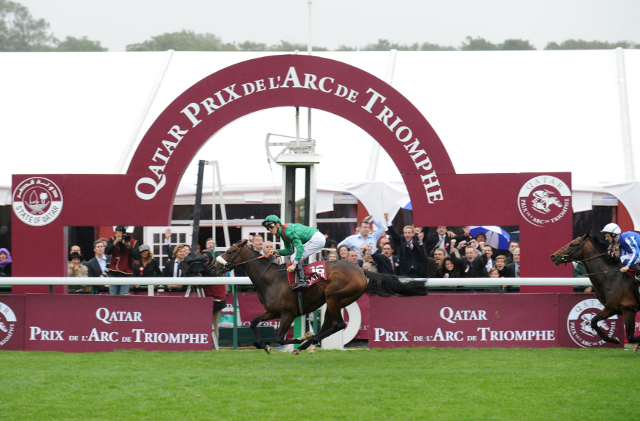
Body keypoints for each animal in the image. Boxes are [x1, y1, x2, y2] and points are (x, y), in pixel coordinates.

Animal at [212, 238, 428, 352]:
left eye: (229, 251)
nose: (214, 266)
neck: (270, 278)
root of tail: (361, 271)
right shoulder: (272, 312)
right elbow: (253, 322)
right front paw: (262, 345)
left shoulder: (288, 313)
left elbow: (281, 338)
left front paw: (298, 339)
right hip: (333, 302)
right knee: (329, 326)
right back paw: (309, 342)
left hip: (334, 298)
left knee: (338, 325)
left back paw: (305, 343)